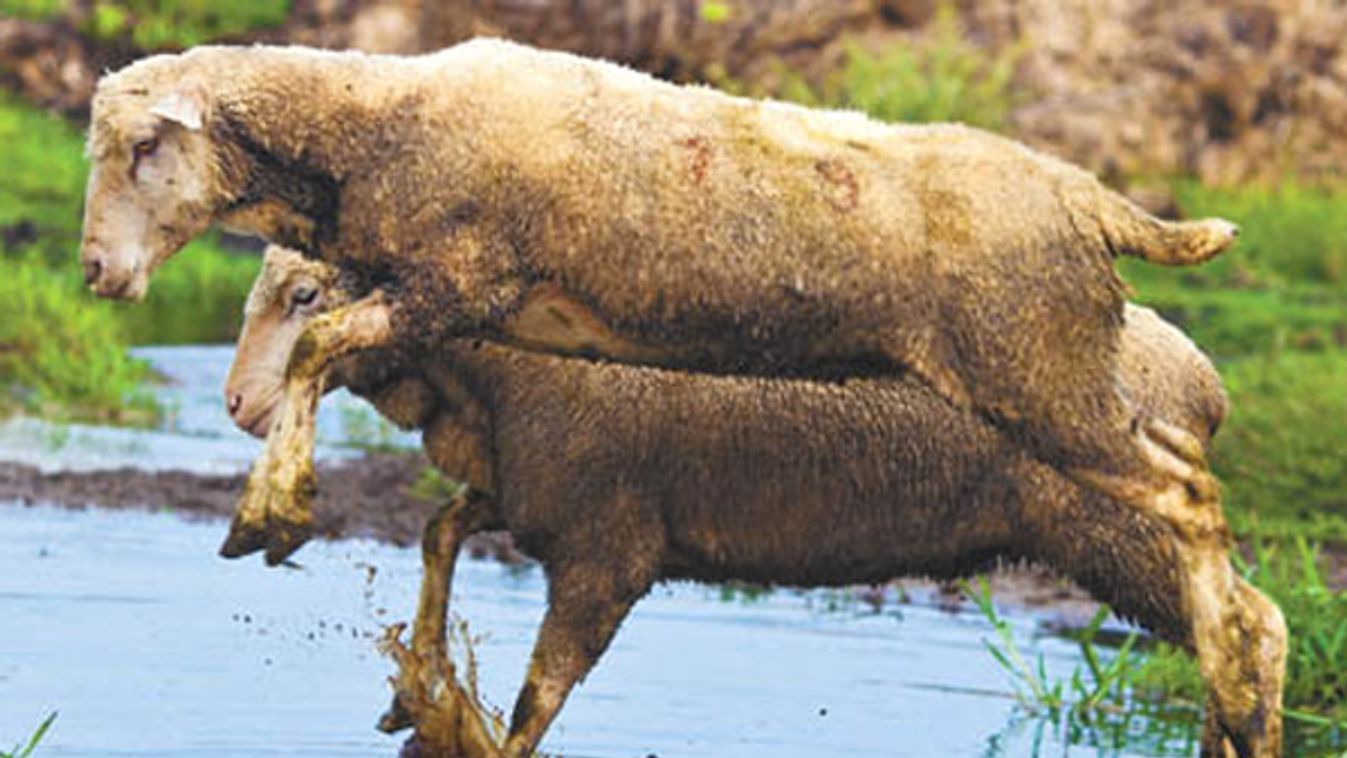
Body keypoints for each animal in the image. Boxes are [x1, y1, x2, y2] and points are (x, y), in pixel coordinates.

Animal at [84, 40, 1233, 562]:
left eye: (146, 147)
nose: (96, 273)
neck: (384, 122)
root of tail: (1089, 199)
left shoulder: (458, 283)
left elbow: (320, 346)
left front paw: (272, 509)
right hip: (1076, 384)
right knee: (1191, 485)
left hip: (1040, 376)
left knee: (1194, 512)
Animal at [223, 246, 1282, 753]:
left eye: (307, 296)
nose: (236, 403)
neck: (480, 372)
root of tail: (1208, 380)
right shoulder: (537, 493)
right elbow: (439, 531)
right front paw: (417, 693)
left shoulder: (609, 545)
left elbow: (536, 702)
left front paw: (455, 720)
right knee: (1227, 640)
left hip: (1119, 527)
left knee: (1257, 629)